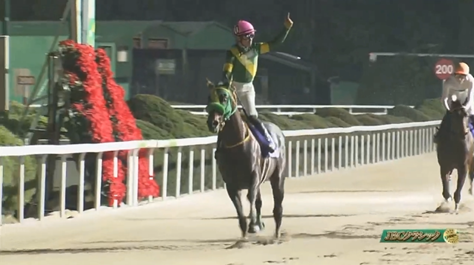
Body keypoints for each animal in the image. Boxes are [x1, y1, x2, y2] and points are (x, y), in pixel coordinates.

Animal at [205, 80, 286, 237]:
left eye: (224, 98)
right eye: (209, 98)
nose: (213, 123)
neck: (235, 145)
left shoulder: (253, 176)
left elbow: (250, 197)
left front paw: (253, 224)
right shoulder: (231, 184)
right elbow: (240, 209)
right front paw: (246, 232)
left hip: (278, 177)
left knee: (277, 206)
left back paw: (277, 232)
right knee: (260, 202)